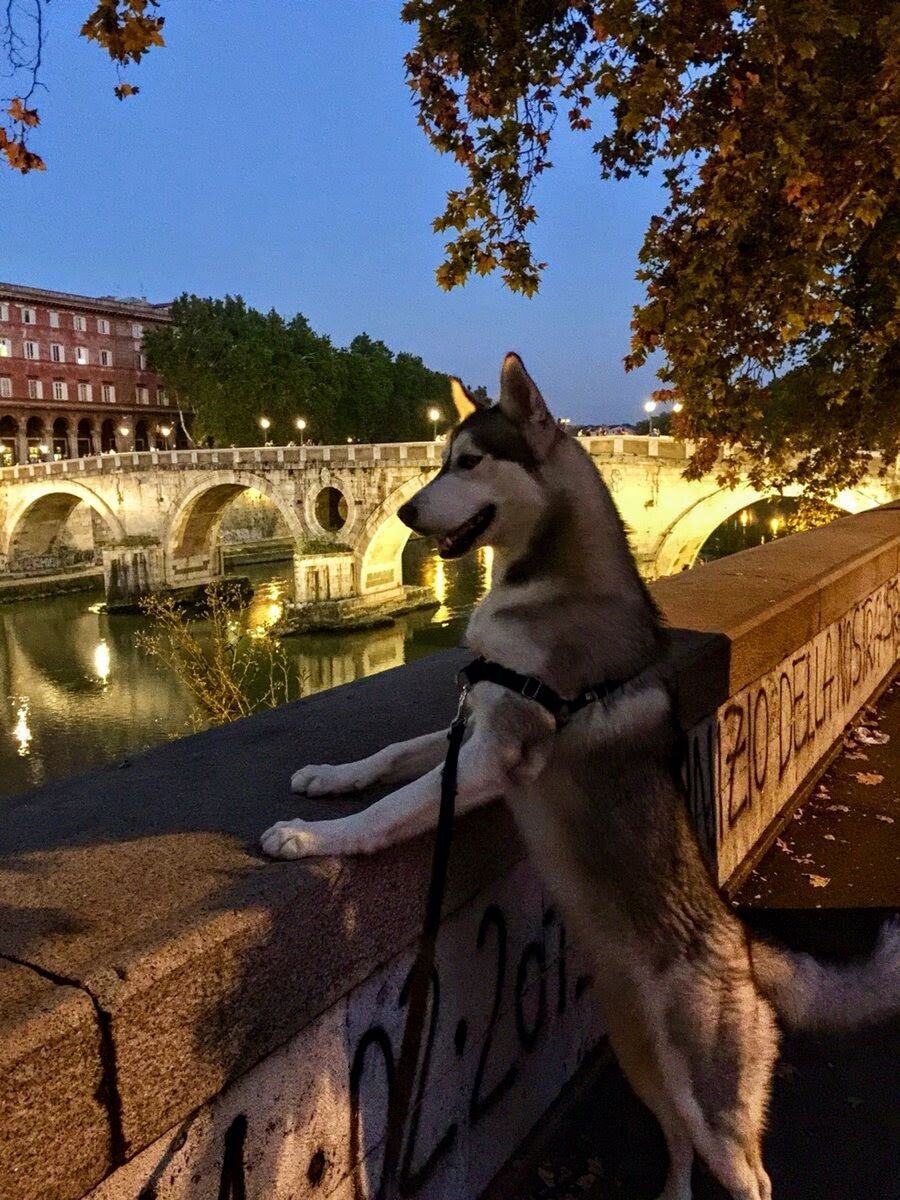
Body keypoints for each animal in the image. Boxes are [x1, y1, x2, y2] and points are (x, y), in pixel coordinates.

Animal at [259, 350, 897, 1195]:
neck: (549, 582)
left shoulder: (497, 749)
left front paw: (309, 837)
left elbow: (392, 810)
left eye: (470, 462)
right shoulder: (475, 721)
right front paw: (327, 777)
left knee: (748, 1174)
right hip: (641, 1056)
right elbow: (390, 759)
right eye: (439, 459)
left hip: (714, 1094)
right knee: (678, 1144)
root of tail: (743, 944)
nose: (403, 512)